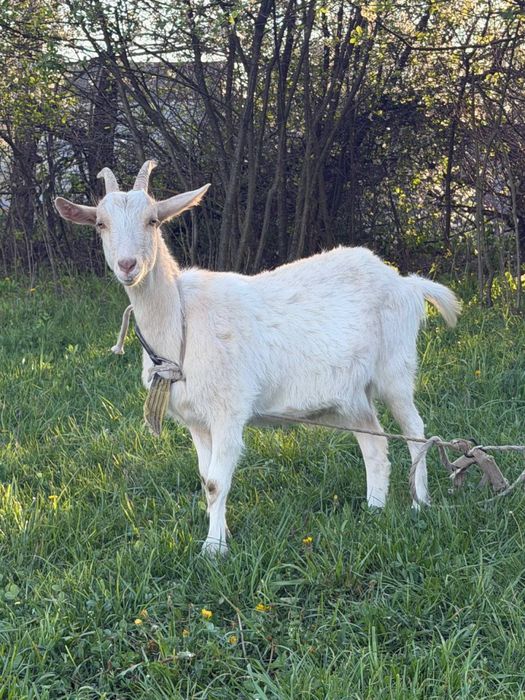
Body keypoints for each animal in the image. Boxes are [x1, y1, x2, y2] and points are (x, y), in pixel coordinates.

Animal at [55, 161, 461, 554]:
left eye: (152, 220)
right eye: (101, 224)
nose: (128, 266)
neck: (182, 325)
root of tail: (405, 282)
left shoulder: (229, 409)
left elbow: (216, 482)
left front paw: (214, 550)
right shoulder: (196, 420)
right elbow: (205, 479)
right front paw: (221, 533)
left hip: (395, 369)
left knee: (416, 433)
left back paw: (419, 503)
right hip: (349, 394)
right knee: (374, 441)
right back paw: (374, 507)